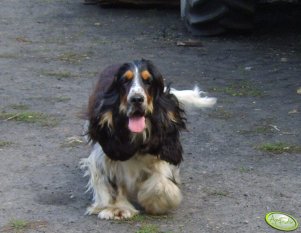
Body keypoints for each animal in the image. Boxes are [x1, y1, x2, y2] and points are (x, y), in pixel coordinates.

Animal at [79, 59, 216, 219]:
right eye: (124, 81)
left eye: (148, 81)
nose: (136, 99)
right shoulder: (105, 153)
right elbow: (112, 181)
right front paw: (117, 208)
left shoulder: (160, 150)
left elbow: (160, 182)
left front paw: (158, 202)